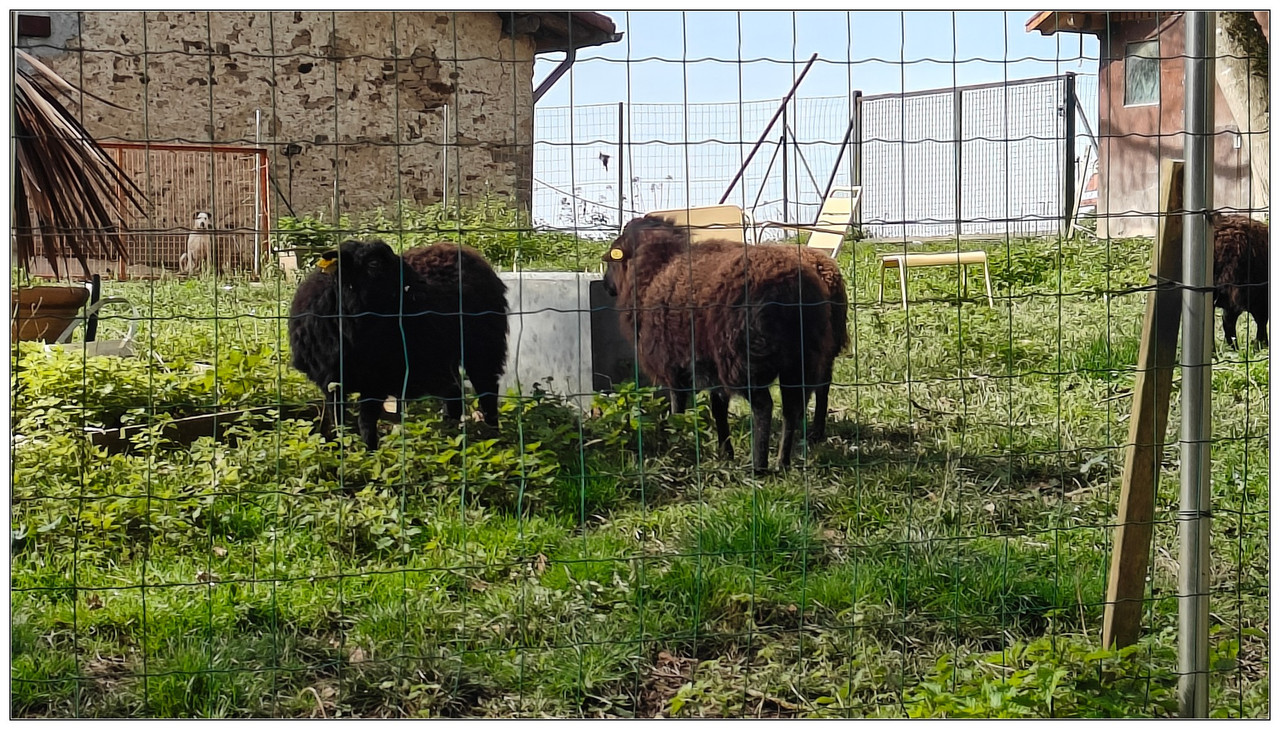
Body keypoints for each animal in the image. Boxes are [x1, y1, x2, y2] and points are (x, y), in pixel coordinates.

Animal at [288, 239, 464, 449]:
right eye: (374, 264)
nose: (421, 283)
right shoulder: (330, 382)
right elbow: (338, 420)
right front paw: (342, 447)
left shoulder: (376, 382)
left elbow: (366, 423)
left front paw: (370, 451)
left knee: (453, 393)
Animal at [602, 216, 835, 471]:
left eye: (612, 260)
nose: (605, 285)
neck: (654, 271)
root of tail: (794, 289)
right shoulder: (711, 366)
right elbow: (718, 408)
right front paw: (725, 452)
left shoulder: (674, 365)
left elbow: (678, 406)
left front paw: (677, 442)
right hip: (802, 358)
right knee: (793, 407)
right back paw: (782, 462)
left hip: (745, 359)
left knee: (764, 407)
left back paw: (759, 465)